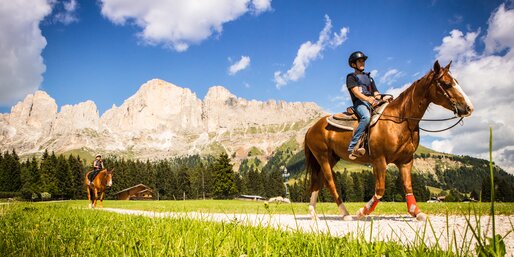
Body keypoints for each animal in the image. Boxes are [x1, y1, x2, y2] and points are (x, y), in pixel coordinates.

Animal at [304, 60, 472, 220]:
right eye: (447, 84)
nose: (469, 108)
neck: (400, 120)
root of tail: (311, 128)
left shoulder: (405, 160)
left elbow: (408, 187)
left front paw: (417, 212)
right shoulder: (379, 160)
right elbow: (380, 189)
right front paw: (362, 212)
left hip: (332, 158)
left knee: (318, 182)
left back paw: (313, 213)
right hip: (323, 157)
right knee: (329, 183)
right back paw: (345, 214)